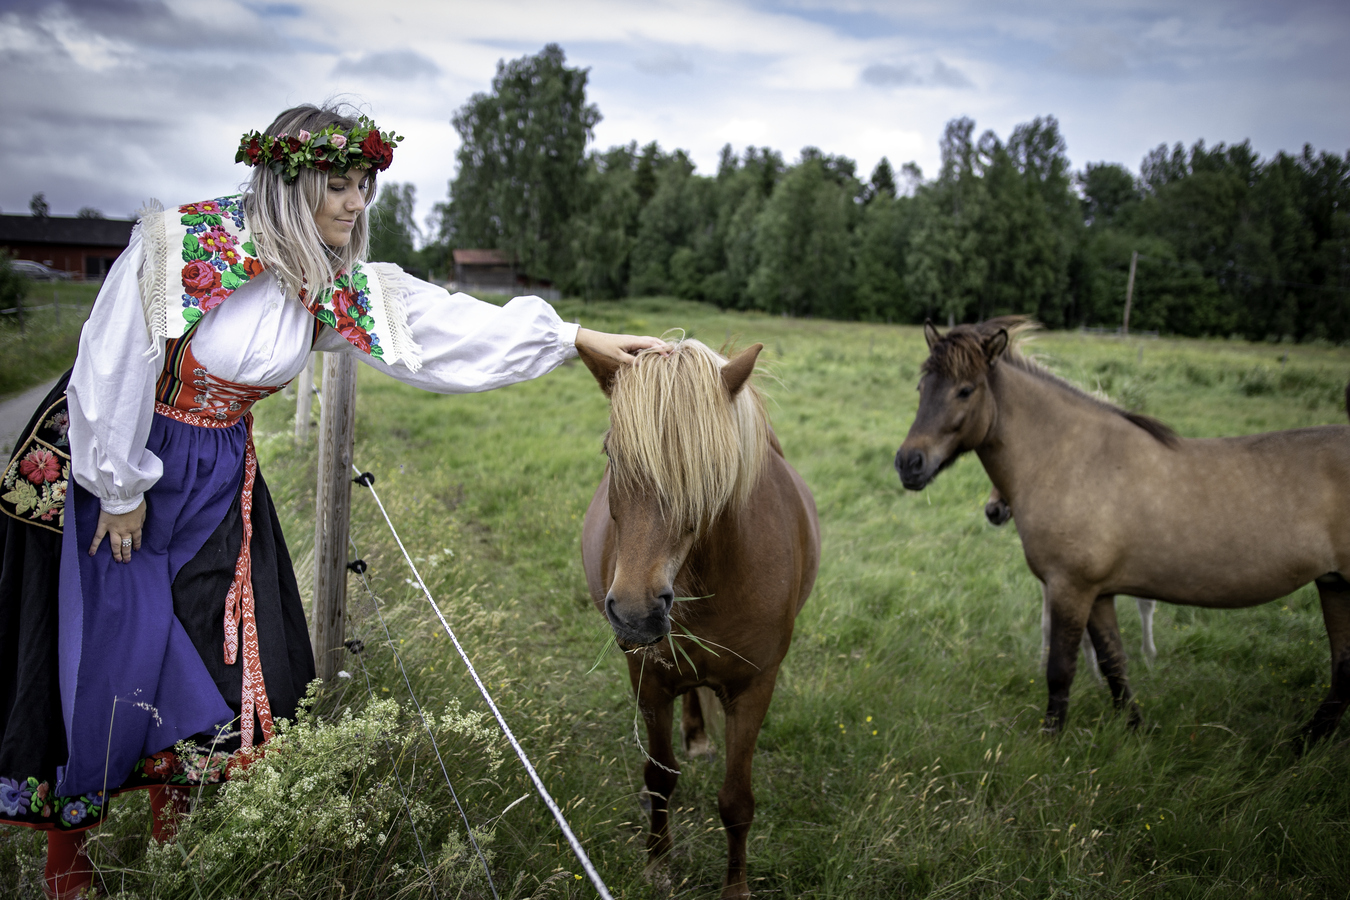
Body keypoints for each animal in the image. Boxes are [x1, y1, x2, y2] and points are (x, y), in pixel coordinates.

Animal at [577, 340, 815, 900]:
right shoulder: (649, 677)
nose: (637, 612)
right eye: (611, 454)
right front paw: (658, 863)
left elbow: (737, 801)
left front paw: (736, 888)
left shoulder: (755, 687)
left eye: (710, 469)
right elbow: (660, 776)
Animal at [896, 318, 1350, 744]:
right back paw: (1305, 742)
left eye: (965, 391)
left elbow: (1061, 669)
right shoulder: (1098, 594)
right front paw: (1136, 731)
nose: (908, 463)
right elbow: (1114, 664)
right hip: (1334, 585)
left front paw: (1050, 741)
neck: (1072, 459)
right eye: (921, 387)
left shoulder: (1070, 588)